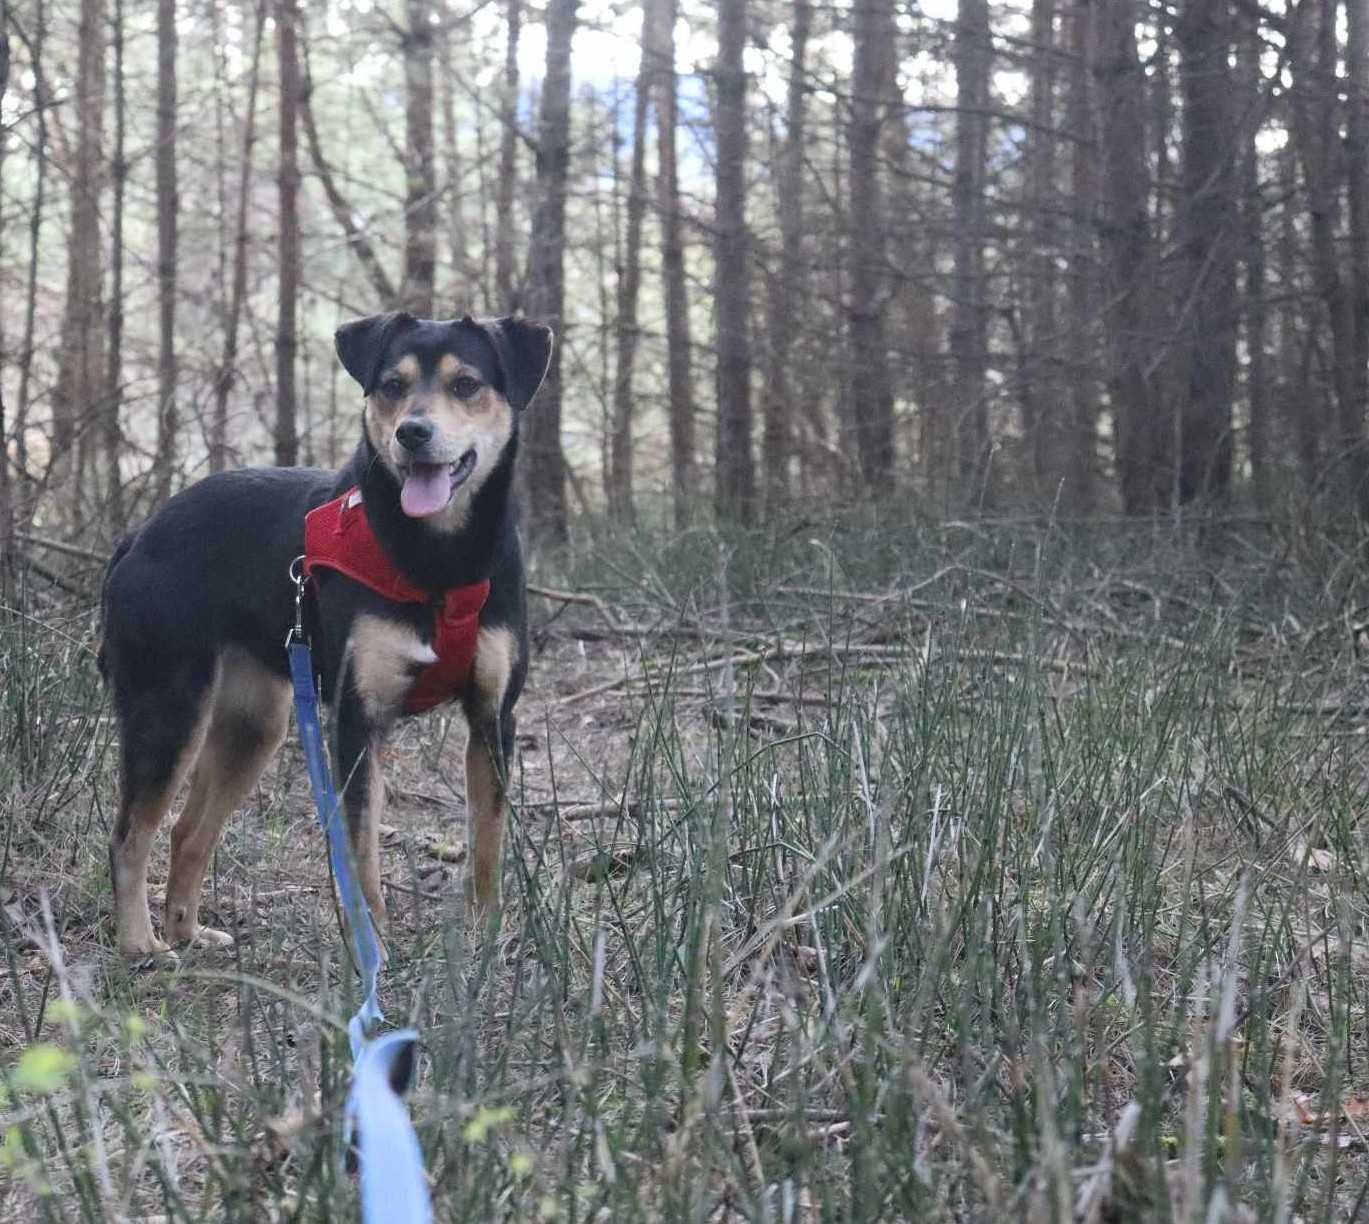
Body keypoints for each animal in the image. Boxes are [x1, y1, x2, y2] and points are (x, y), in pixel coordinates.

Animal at [99, 312, 553, 963]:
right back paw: (141, 943)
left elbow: (487, 839)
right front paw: (373, 948)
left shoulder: (493, 719)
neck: (436, 560)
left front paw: (486, 937)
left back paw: (188, 932)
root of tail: (137, 537)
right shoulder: (356, 721)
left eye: (466, 385)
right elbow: (360, 853)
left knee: (188, 831)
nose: (413, 433)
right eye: (391, 385)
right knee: (130, 834)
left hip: (254, 725)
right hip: (168, 709)